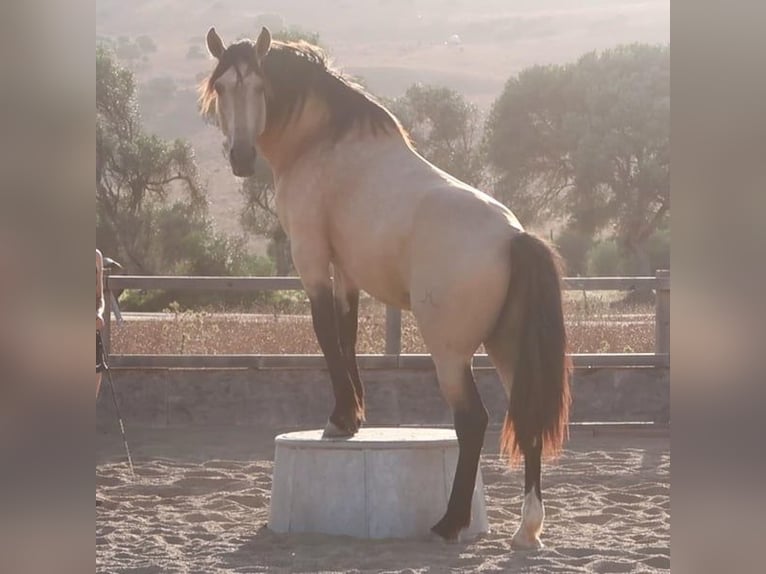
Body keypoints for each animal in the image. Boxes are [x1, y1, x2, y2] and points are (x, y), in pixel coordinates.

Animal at [201, 27, 572, 548]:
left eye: (257, 86)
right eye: (221, 87)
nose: (239, 157)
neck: (323, 142)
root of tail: (514, 237)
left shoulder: (311, 256)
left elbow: (325, 333)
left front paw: (339, 419)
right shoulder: (347, 271)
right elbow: (348, 334)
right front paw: (353, 418)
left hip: (451, 355)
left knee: (473, 420)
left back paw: (449, 522)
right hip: (509, 350)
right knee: (529, 419)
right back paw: (527, 529)